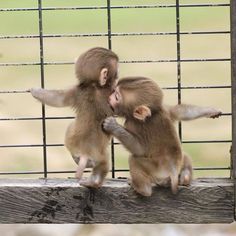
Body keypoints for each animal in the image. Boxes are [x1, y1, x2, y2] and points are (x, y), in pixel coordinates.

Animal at [30, 47, 120, 187]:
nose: (118, 76)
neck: (95, 86)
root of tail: (86, 151)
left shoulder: (77, 91)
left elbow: (58, 99)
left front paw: (36, 91)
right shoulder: (97, 91)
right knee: (103, 164)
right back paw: (93, 181)